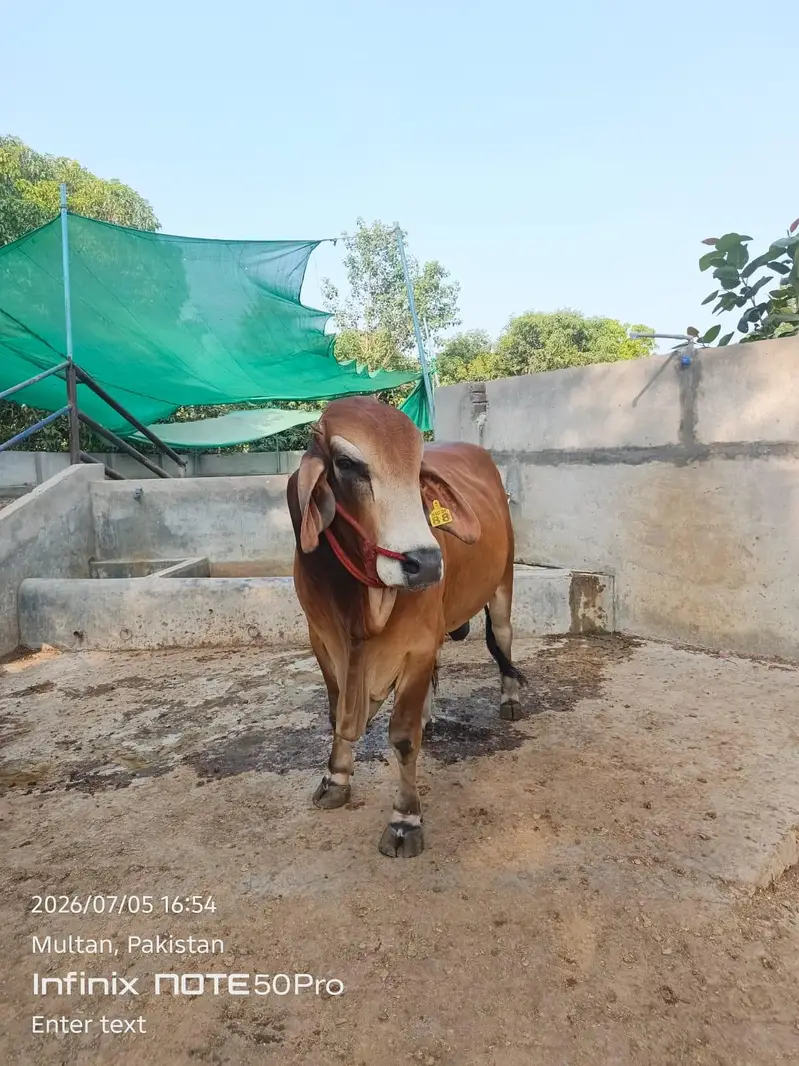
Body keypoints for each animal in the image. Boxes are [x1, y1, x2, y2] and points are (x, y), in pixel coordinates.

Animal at [286, 395, 526, 858]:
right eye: (347, 463)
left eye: (418, 468)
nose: (426, 563)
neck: (360, 609)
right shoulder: (321, 640)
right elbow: (335, 712)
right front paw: (336, 778)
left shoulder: (416, 646)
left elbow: (401, 737)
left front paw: (404, 821)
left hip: (503, 580)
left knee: (503, 636)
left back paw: (509, 698)